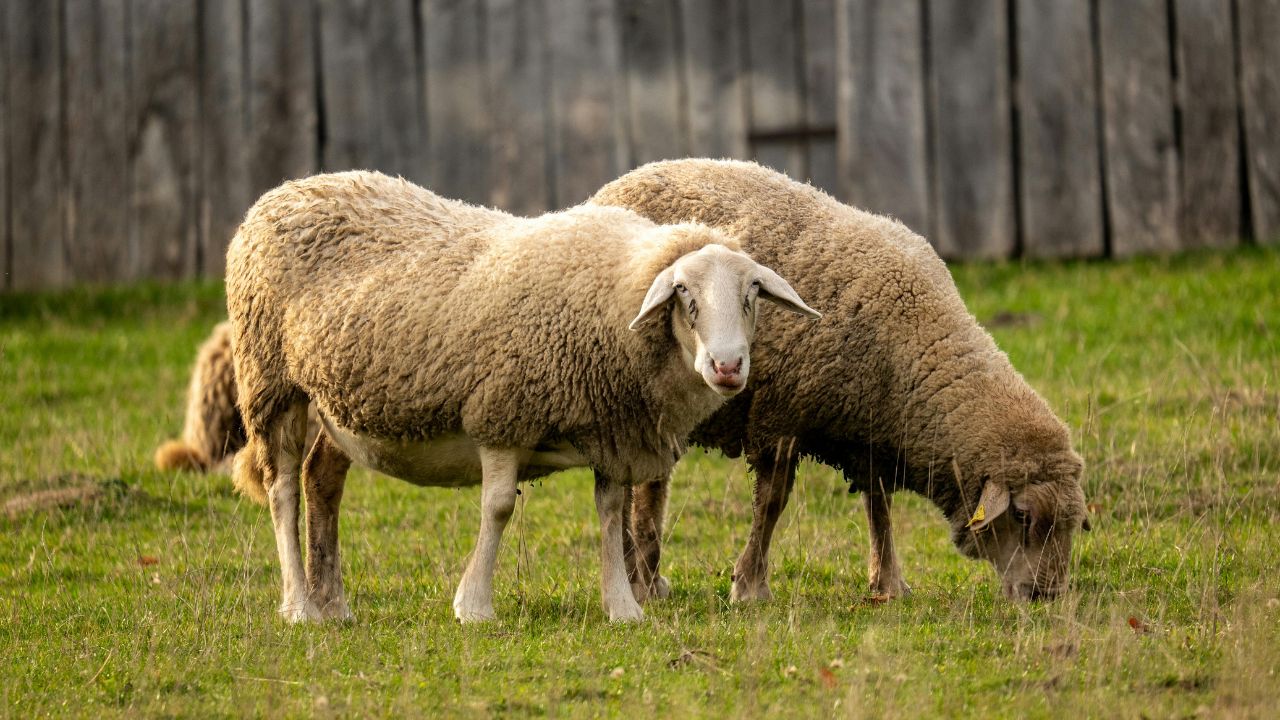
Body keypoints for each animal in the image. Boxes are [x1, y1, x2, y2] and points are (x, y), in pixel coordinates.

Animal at [225, 170, 819, 623]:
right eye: (683, 294)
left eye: (752, 293)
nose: (727, 366)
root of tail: (285, 191)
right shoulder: (502, 413)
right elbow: (499, 507)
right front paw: (474, 606)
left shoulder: (610, 430)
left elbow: (610, 514)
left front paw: (622, 607)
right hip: (269, 380)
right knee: (281, 489)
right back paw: (300, 606)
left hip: (339, 403)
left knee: (320, 479)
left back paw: (333, 604)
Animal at [591, 159, 1090, 603]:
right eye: (1022, 516)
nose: (1047, 595)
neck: (915, 336)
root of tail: (615, 185)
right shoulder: (781, 418)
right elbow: (772, 504)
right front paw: (750, 586)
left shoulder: (871, 429)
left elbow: (879, 505)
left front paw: (888, 583)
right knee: (648, 488)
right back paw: (644, 581)